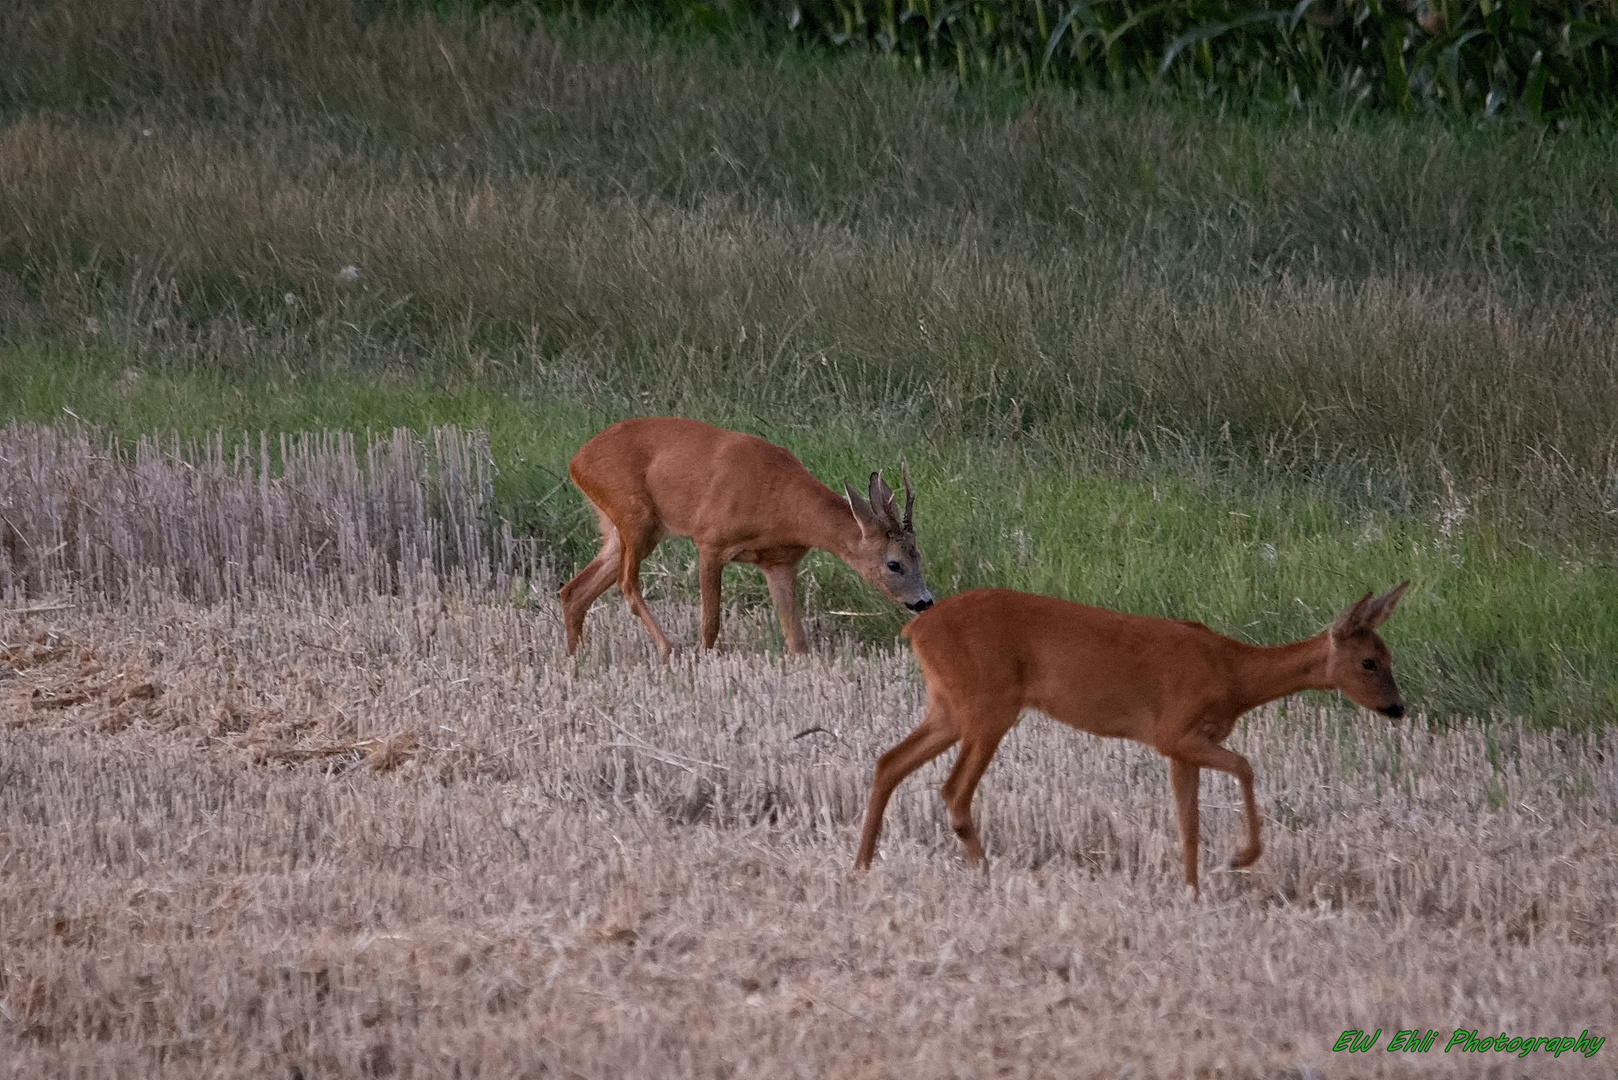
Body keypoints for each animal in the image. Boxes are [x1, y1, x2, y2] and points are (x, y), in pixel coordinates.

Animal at [559, 420, 931, 660]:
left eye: (919, 556)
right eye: (894, 564)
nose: (924, 602)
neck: (783, 506)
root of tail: (576, 461)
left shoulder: (780, 561)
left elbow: (797, 640)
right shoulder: (710, 540)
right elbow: (711, 622)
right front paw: (704, 658)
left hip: (617, 526)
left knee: (573, 590)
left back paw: (575, 658)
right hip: (636, 515)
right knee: (626, 582)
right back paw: (667, 650)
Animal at [854, 582, 1410, 893]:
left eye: (1390, 657)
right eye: (1369, 662)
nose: (1398, 708)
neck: (1234, 674)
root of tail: (915, 631)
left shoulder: (1183, 747)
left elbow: (1189, 824)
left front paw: (1192, 893)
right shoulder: (1173, 731)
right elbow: (1246, 767)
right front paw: (1241, 858)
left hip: (950, 705)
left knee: (889, 762)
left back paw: (860, 866)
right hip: (989, 704)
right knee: (953, 790)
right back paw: (985, 875)